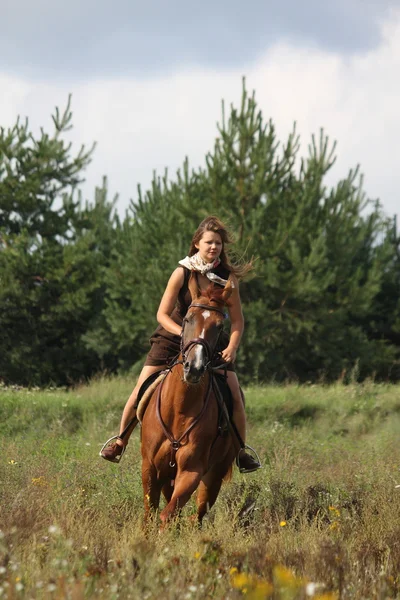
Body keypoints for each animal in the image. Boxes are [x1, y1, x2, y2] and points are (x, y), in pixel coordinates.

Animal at [141, 274, 236, 524]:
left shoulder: (191, 471)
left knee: (199, 515)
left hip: (213, 477)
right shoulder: (150, 468)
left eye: (220, 326)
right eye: (187, 319)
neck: (180, 409)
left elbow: (167, 514)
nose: (194, 367)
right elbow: (150, 514)